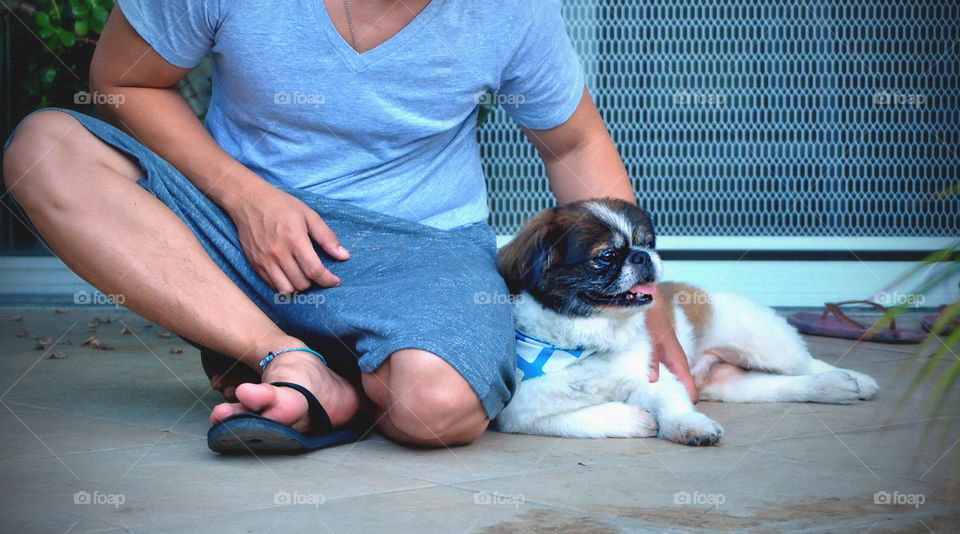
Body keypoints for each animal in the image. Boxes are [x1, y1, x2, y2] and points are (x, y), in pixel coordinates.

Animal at [496, 199, 876, 446]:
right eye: (606, 256)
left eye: (647, 243)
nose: (643, 256)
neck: (588, 345)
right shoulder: (523, 415)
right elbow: (583, 419)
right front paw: (636, 420)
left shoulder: (659, 378)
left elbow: (674, 406)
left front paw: (691, 425)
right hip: (732, 384)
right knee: (785, 386)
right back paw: (832, 388)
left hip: (764, 344)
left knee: (806, 363)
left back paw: (857, 380)